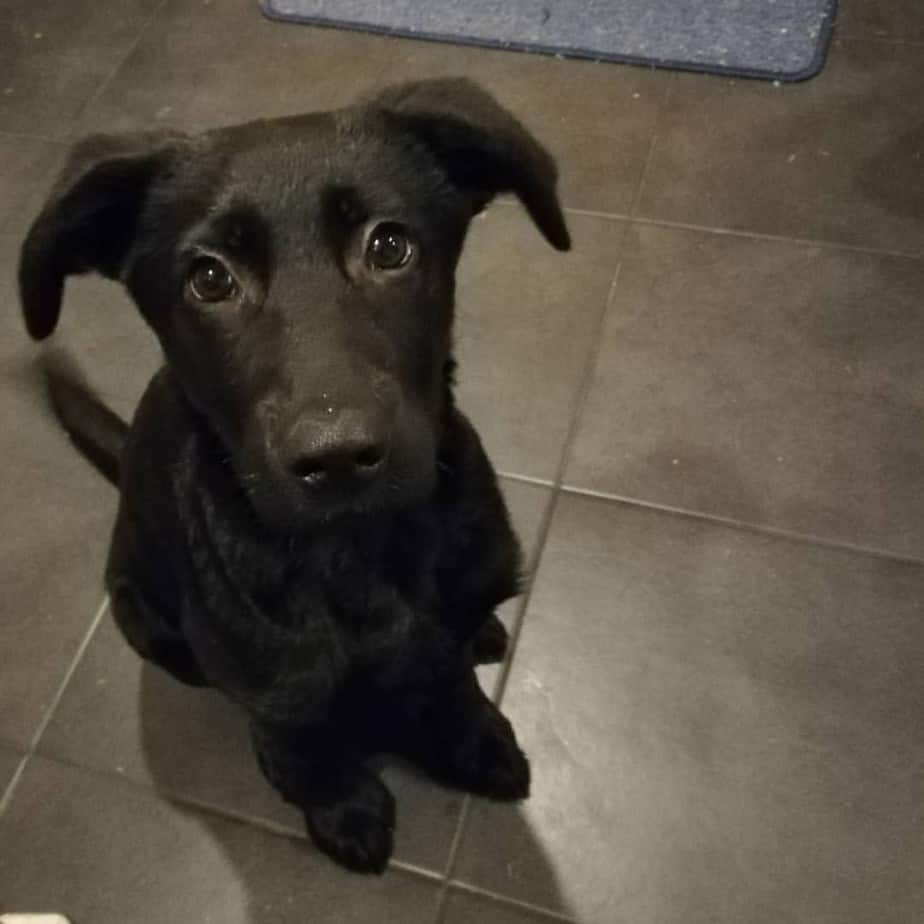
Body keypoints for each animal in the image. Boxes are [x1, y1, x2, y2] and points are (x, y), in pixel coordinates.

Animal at [19, 79, 572, 872]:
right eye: (209, 278)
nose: (336, 456)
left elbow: (454, 682)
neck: (358, 554)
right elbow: (303, 740)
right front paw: (342, 806)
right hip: (147, 623)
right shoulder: (272, 686)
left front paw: (476, 737)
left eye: (389, 245)